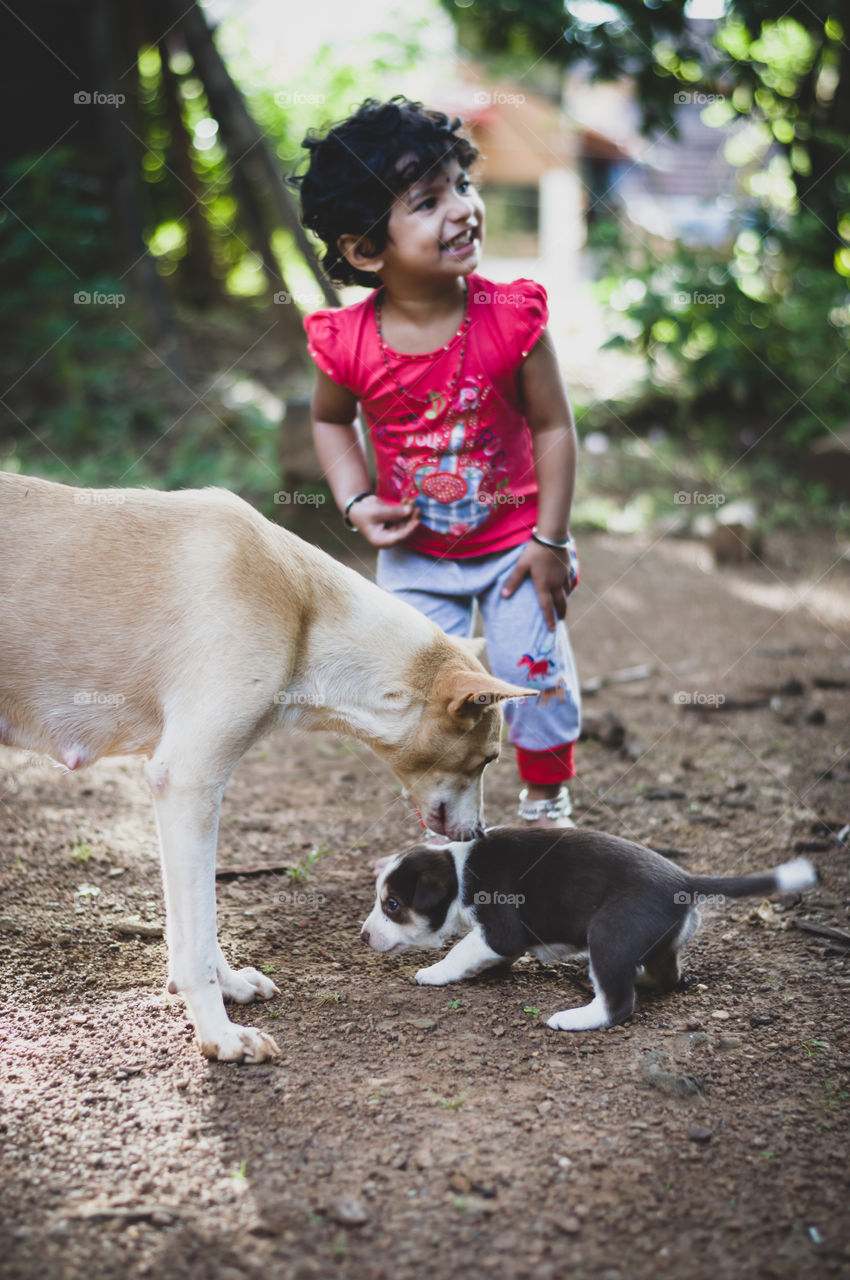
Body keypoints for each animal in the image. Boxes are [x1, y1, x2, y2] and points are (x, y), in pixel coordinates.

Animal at [363, 829, 819, 1029]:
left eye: (393, 905)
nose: (364, 936)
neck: (458, 872)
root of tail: (685, 880)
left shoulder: (500, 929)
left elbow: (461, 950)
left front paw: (433, 972)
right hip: (656, 944)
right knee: (667, 975)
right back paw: (641, 978)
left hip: (609, 935)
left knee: (619, 1004)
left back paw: (576, 1017)